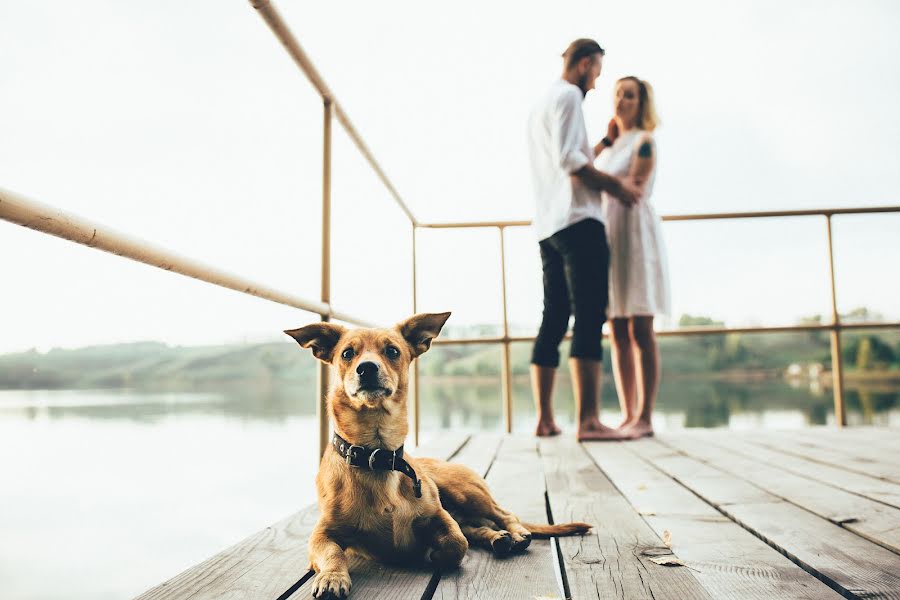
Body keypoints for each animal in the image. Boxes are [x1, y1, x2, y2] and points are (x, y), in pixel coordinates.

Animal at [286, 312, 592, 596]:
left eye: (392, 351)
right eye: (347, 353)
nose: (367, 368)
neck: (378, 455)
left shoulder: (439, 515)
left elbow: (457, 543)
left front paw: (432, 552)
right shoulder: (322, 533)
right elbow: (332, 553)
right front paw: (332, 577)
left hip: (465, 492)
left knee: (503, 514)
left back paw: (516, 533)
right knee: (475, 528)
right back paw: (497, 538)